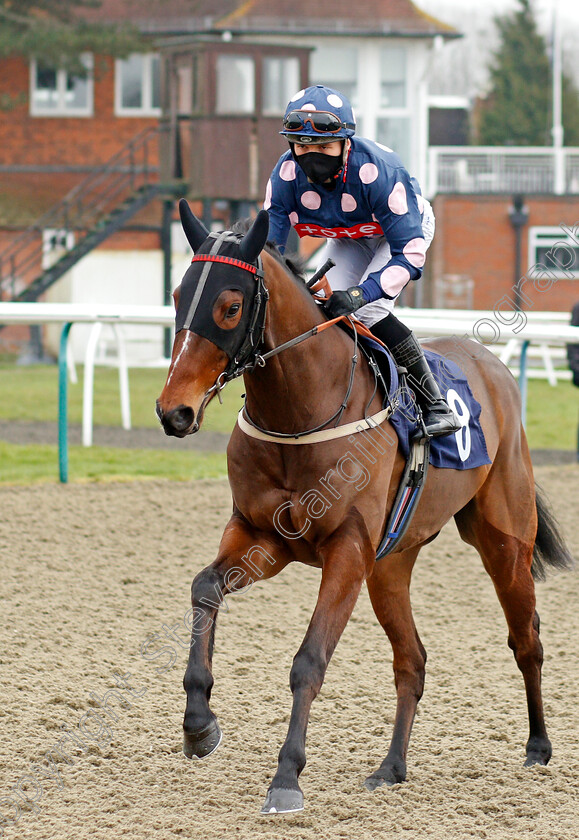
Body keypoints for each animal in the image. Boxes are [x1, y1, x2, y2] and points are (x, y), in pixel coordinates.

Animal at [156, 202, 572, 812]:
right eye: (178, 295)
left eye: (230, 306)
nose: (174, 412)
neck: (302, 412)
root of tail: (488, 362)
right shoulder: (262, 536)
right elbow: (204, 588)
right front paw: (199, 724)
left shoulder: (346, 549)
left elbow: (309, 659)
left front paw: (286, 777)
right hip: (390, 565)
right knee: (412, 660)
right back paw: (391, 766)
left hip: (503, 541)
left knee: (527, 641)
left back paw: (539, 746)